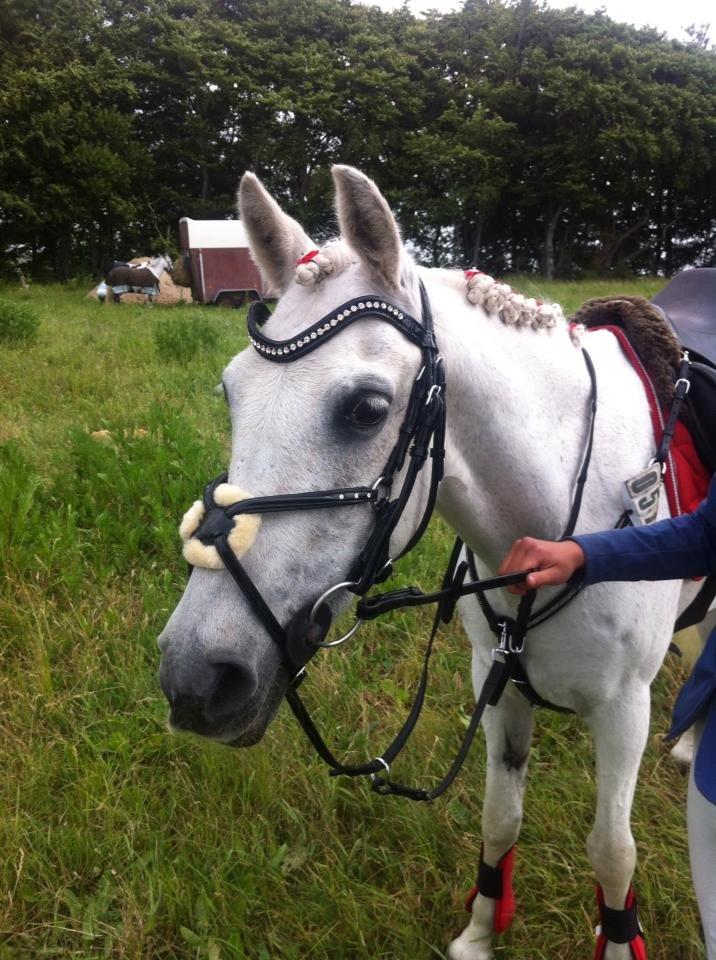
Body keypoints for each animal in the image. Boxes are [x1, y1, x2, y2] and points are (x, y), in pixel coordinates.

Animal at [158, 169, 700, 956]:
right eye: (231, 394)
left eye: (365, 408)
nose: (196, 678)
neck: (566, 530)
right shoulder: (497, 684)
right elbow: (500, 818)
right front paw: (479, 933)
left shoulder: (626, 708)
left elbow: (612, 852)